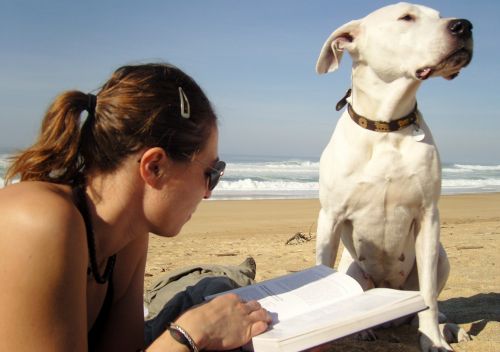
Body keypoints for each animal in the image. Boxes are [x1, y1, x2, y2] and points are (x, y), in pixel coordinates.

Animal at [316, 3, 472, 352]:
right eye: (406, 17)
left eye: (439, 14)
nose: (464, 25)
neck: (386, 125)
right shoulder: (330, 217)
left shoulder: (428, 215)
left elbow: (429, 298)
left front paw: (433, 339)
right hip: (354, 269)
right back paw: (364, 329)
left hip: (441, 258)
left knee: (424, 302)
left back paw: (449, 328)